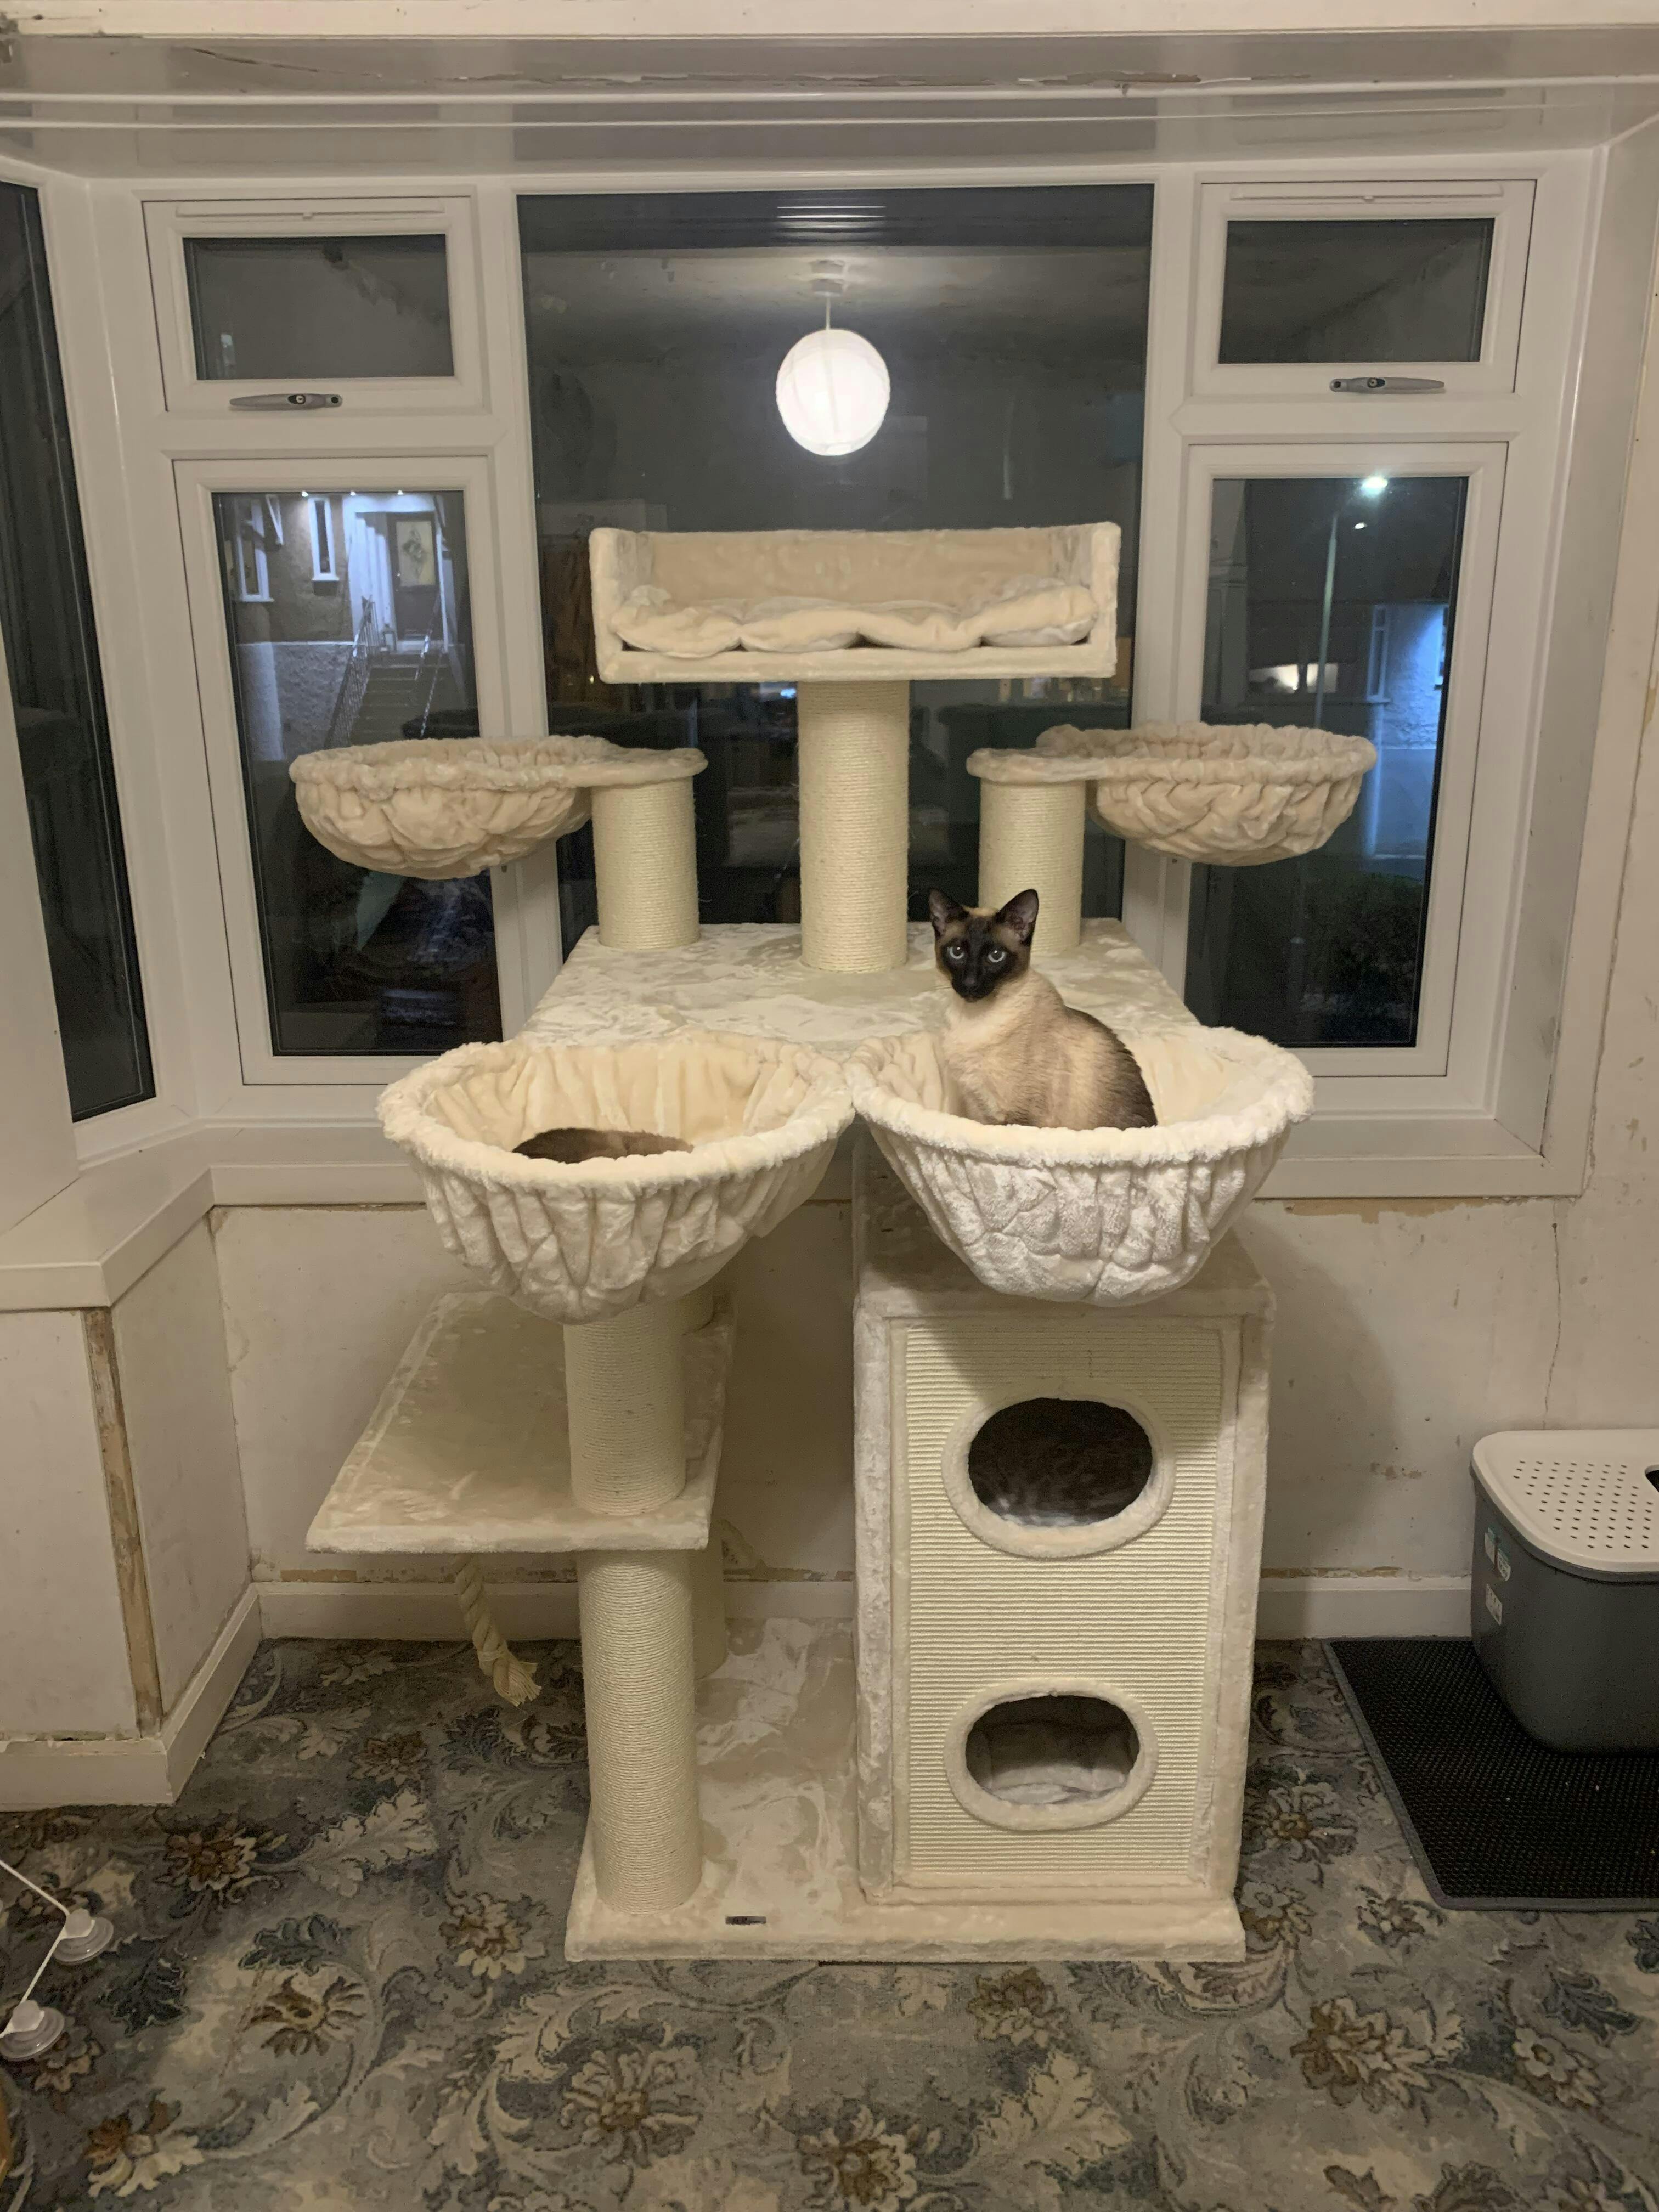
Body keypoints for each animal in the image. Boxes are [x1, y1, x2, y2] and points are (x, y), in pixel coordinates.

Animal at [926, 887, 1156, 1130]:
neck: (973, 1018)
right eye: (957, 952)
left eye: (996, 956)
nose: (971, 984)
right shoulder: (977, 1107)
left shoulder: (1018, 1118)